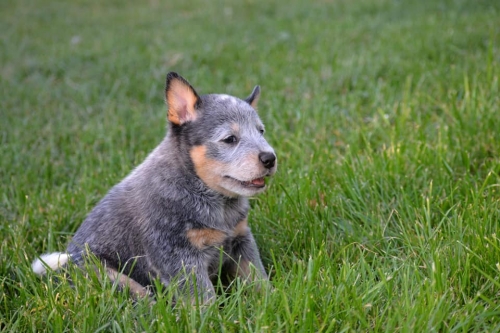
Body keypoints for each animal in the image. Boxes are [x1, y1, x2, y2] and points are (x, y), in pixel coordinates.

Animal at [32, 72, 278, 304]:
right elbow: (201, 295)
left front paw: (269, 298)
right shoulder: (178, 254)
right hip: (107, 276)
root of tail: (60, 271)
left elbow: (257, 276)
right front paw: (209, 316)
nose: (270, 158)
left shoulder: (241, 239)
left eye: (261, 131)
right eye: (230, 139)